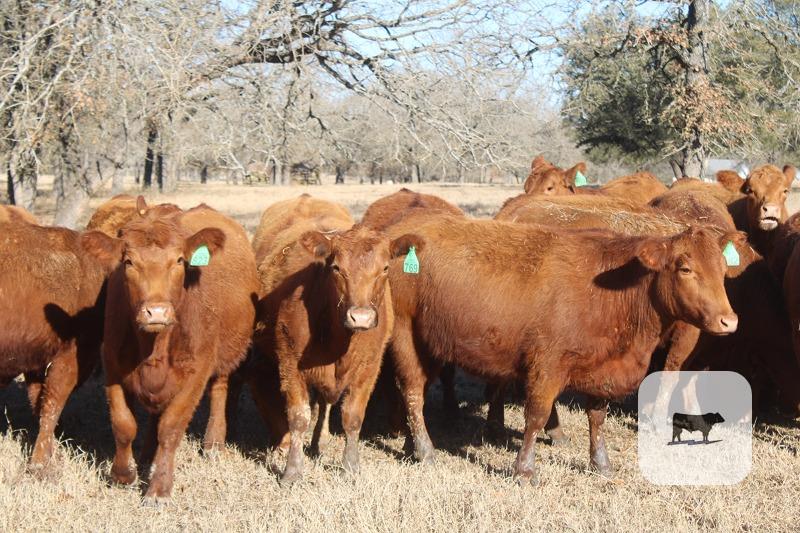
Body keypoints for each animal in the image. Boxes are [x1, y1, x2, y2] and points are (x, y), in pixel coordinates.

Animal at [80, 199, 259, 502]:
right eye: (128, 262)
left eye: (178, 261)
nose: (157, 312)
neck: (154, 347)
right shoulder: (112, 364)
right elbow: (124, 424)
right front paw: (123, 474)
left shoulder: (196, 372)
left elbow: (171, 427)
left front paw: (159, 487)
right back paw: (146, 456)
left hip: (226, 355)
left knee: (220, 390)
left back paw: (212, 444)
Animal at [249, 197, 399, 484]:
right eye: (337, 268)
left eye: (385, 268)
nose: (361, 317)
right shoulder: (290, 365)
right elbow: (298, 417)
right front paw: (292, 471)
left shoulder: (370, 367)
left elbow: (352, 417)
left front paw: (350, 466)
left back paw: (319, 442)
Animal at [385, 214, 736, 483]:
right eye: (685, 268)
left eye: (722, 270)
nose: (728, 321)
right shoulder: (546, 365)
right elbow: (536, 417)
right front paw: (525, 470)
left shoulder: (601, 370)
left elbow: (597, 418)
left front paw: (601, 464)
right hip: (406, 335)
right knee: (412, 391)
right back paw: (425, 451)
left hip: (430, 344)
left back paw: (409, 444)